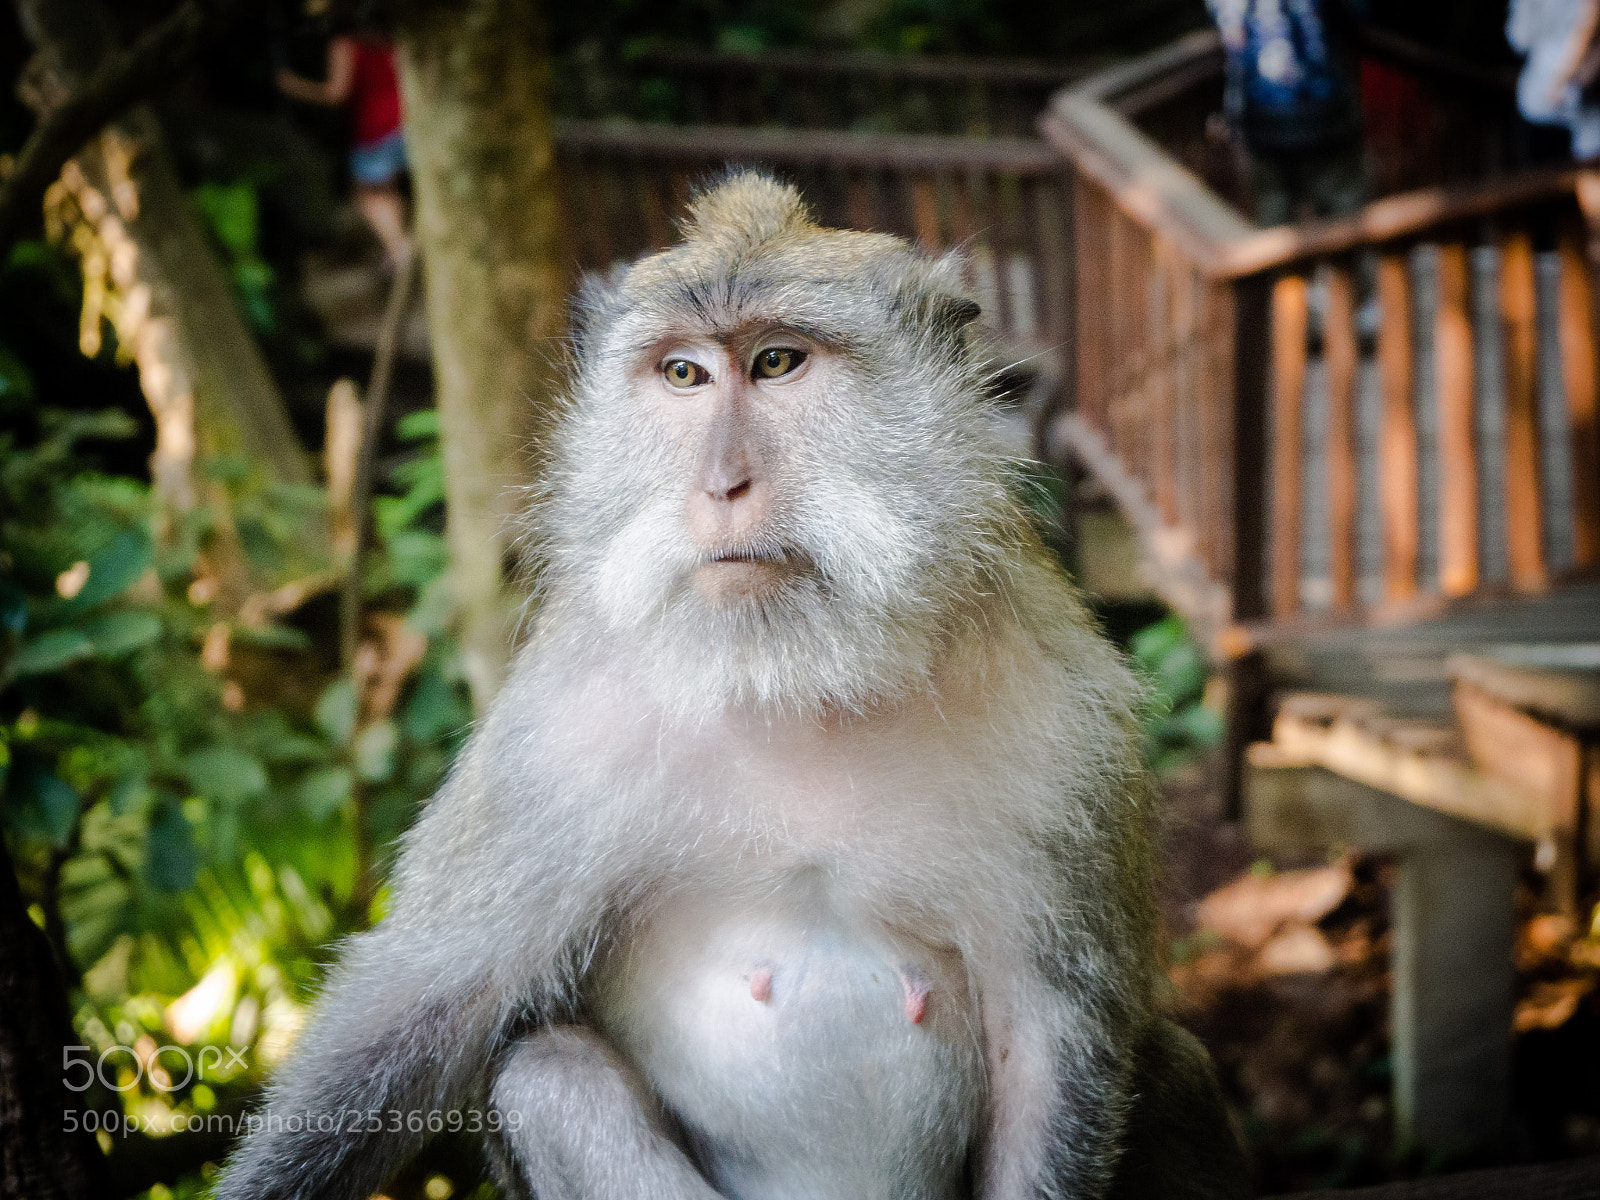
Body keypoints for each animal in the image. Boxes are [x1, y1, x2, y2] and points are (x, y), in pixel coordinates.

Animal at [214, 171, 1247, 1200]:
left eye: (777, 363)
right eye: (684, 375)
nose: (721, 485)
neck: (798, 684)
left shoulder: (1070, 735)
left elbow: (1046, 1046)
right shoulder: (550, 738)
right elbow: (418, 1012)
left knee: (1172, 1069)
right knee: (551, 1076)